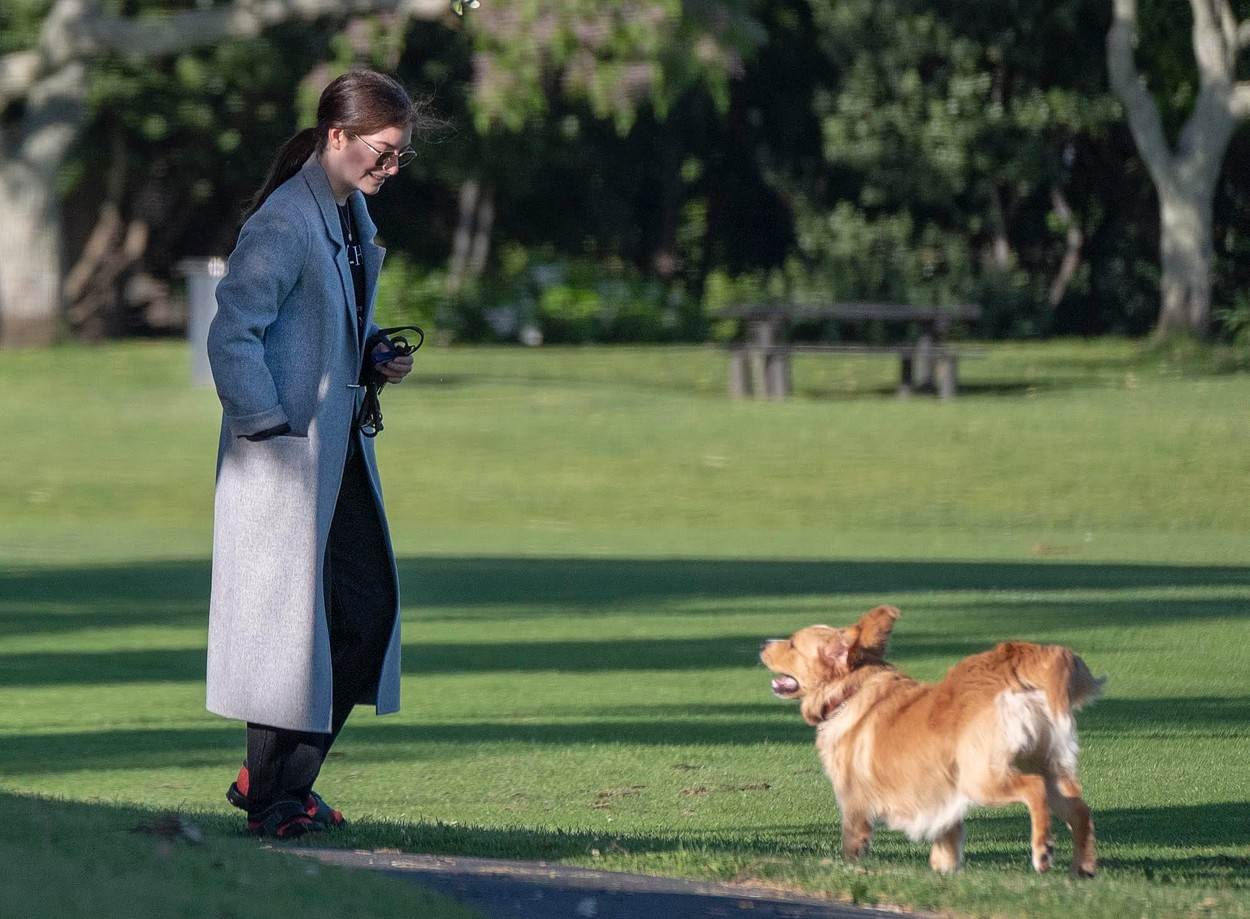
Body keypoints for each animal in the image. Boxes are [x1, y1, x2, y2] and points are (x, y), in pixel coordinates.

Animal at [760, 605, 1105, 875]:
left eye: (792, 644)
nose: (763, 641)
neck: (849, 692)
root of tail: (1007, 665)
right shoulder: (941, 804)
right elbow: (946, 850)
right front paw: (945, 873)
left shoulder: (854, 805)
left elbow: (851, 847)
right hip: (1046, 768)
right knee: (1079, 810)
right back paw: (1083, 869)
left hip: (982, 778)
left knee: (1033, 788)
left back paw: (1042, 850)